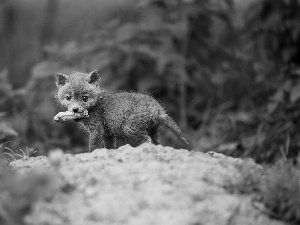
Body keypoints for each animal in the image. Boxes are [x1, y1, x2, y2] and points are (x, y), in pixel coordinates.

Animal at [55, 71, 188, 150]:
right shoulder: (107, 134)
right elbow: (109, 147)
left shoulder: (96, 129)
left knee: (147, 140)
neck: (95, 104)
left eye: (85, 98)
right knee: (158, 143)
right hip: (153, 131)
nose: (75, 109)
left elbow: (93, 146)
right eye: (68, 97)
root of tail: (158, 109)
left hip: (130, 128)